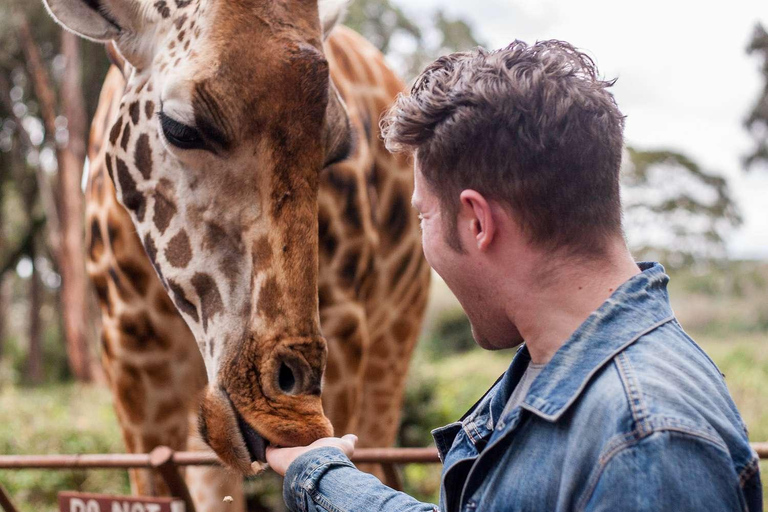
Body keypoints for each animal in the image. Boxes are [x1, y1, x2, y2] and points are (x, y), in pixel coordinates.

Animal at [46, 0, 432, 506]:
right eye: (180, 127)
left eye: (336, 149)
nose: (293, 419)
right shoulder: (128, 354)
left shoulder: (349, 329)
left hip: (395, 339)